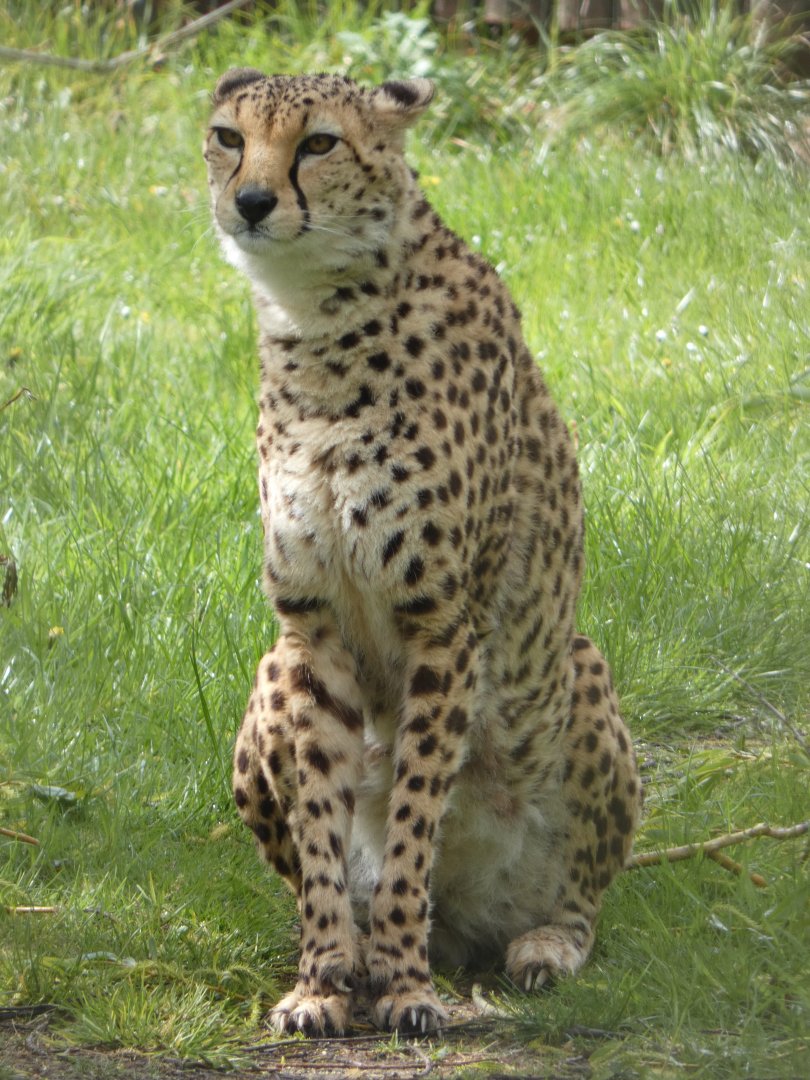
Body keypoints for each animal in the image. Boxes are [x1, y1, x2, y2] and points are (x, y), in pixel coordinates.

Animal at [203, 69, 642, 1038]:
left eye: (318, 144)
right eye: (227, 137)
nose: (250, 201)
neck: (320, 321)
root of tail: (470, 923)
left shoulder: (443, 626)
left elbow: (411, 826)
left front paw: (405, 986)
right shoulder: (311, 628)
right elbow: (323, 829)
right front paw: (324, 979)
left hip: (579, 670)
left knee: (584, 898)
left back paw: (534, 945)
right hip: (266, 673)